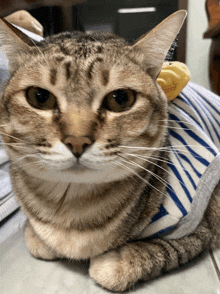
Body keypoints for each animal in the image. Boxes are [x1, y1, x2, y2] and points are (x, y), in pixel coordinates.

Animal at [0, 9, 220, 292]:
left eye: (121, 99)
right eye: (39, 97)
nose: (77, 141)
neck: (72, 209)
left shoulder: (199, 225)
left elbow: (155, 252)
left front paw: (116, 260)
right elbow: (36, 238)